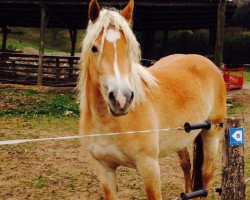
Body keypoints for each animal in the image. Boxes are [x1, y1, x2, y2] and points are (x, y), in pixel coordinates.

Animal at [78, 0, 227, 199]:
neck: (108, 124)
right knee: (186, 164)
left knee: (206, 174)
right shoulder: (103, 169)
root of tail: (208, 63)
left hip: (212, 133)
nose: (121, 99)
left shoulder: (149, 166)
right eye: (94, 48)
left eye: (129, 49)